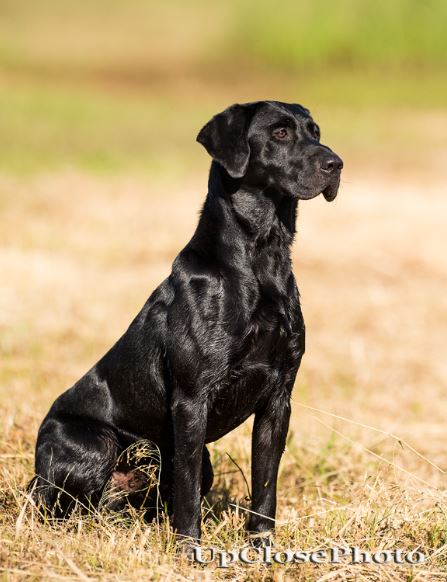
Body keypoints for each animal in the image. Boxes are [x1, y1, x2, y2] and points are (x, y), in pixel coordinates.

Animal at [31, 101, 344, 548]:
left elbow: (265, 483)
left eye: (315, 131)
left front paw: (261, 544)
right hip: (93, 443)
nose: (336, 164)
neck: (262, 259)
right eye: (280, 132)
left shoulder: (278, 397)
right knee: (61, 507)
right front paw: (189, 548)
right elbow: (188, 488)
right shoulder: (193, 398)